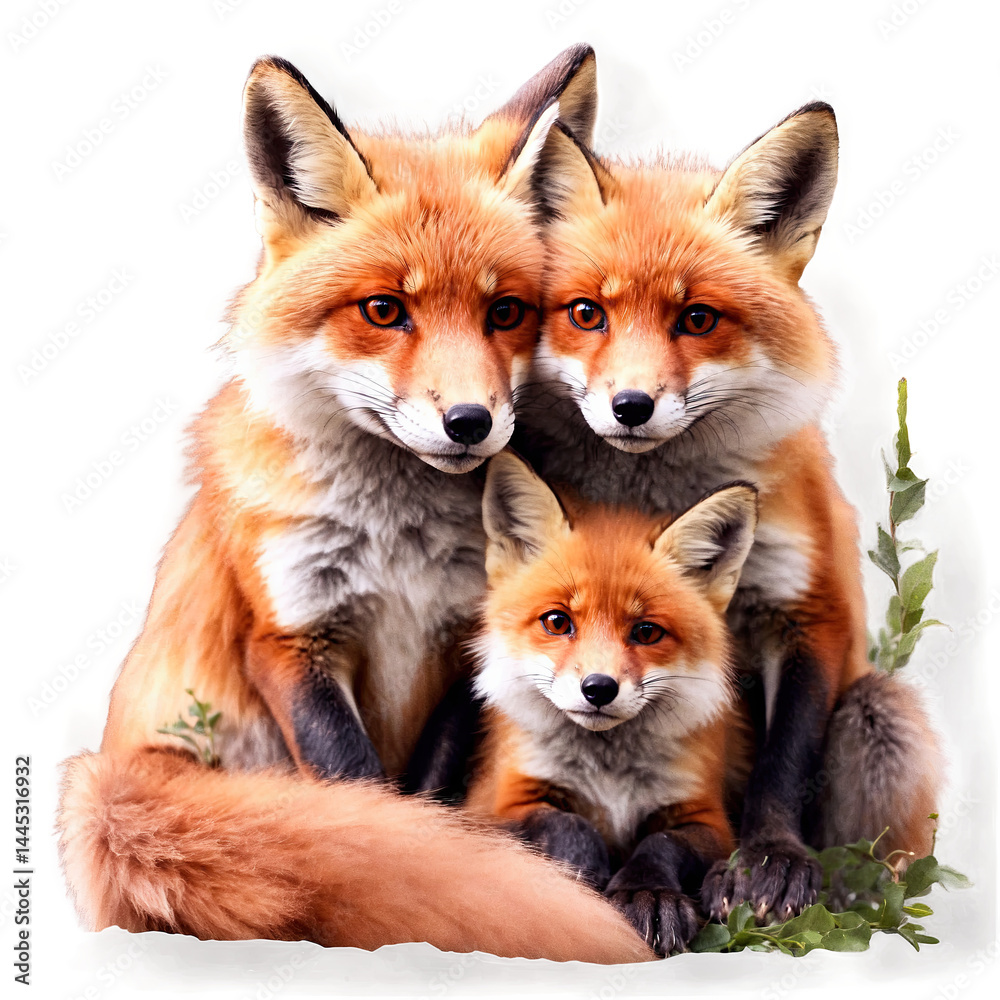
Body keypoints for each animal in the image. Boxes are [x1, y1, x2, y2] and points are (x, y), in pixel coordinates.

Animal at [56, 48, 656, 963]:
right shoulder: (290, 637)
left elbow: (426, 805)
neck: (399, 545)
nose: (470, 422)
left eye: (505, 311)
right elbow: (364, 804)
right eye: (384, 310)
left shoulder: (471, 642)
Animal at [465, 452, 759, 954]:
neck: (609, 775)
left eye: (647, 632)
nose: (599, 688)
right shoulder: (500, 803)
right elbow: (568, 826)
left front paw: (647, 894)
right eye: (557, 622)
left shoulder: (709, 818)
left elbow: (661, 843)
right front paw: (579, 882)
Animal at [509, 102, 943, 922]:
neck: (659, 496)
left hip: (878, 710)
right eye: (587, 313)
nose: (632, 405)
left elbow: (785, 764)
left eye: (698, 319)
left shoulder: (809, 610)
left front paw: (768, 863)